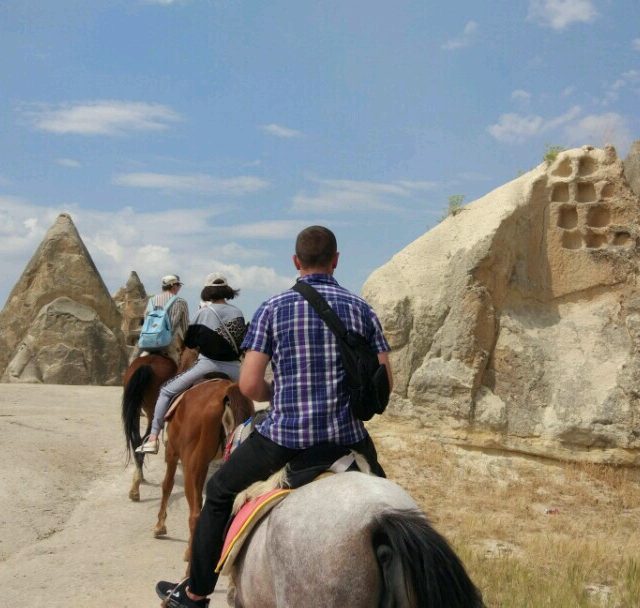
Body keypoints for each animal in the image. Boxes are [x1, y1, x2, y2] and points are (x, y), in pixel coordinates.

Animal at [153, 380, 255, 560]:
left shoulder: (172, 453)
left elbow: (167, 485)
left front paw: (160, 525)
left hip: (193, 467)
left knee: (195, 514)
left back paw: (191, 554)